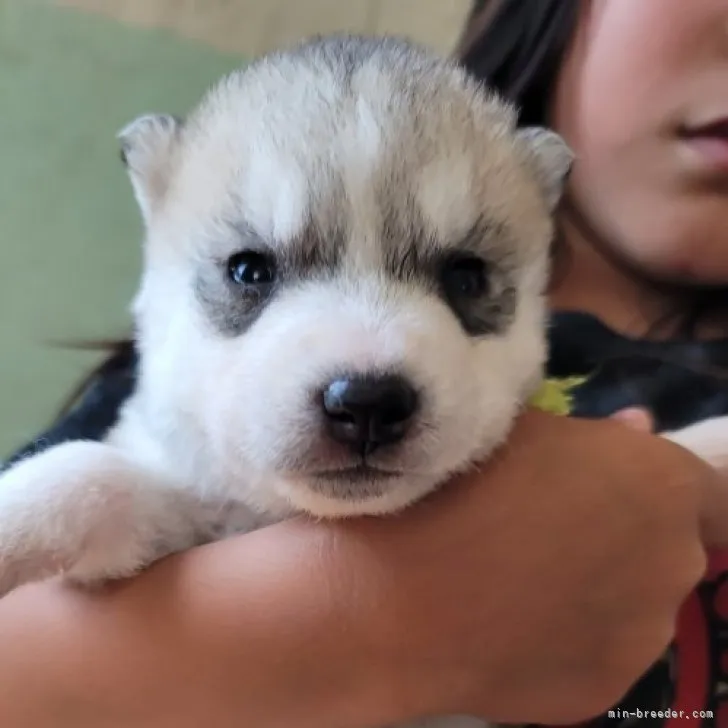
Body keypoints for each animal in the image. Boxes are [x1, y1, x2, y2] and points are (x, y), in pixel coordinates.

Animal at [1, 35, 724, 728]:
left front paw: (710, 445)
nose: (368, 402)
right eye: (248, 270)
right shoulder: (178, 513)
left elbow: (685, 449)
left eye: (467, 276)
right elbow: (91, 475)